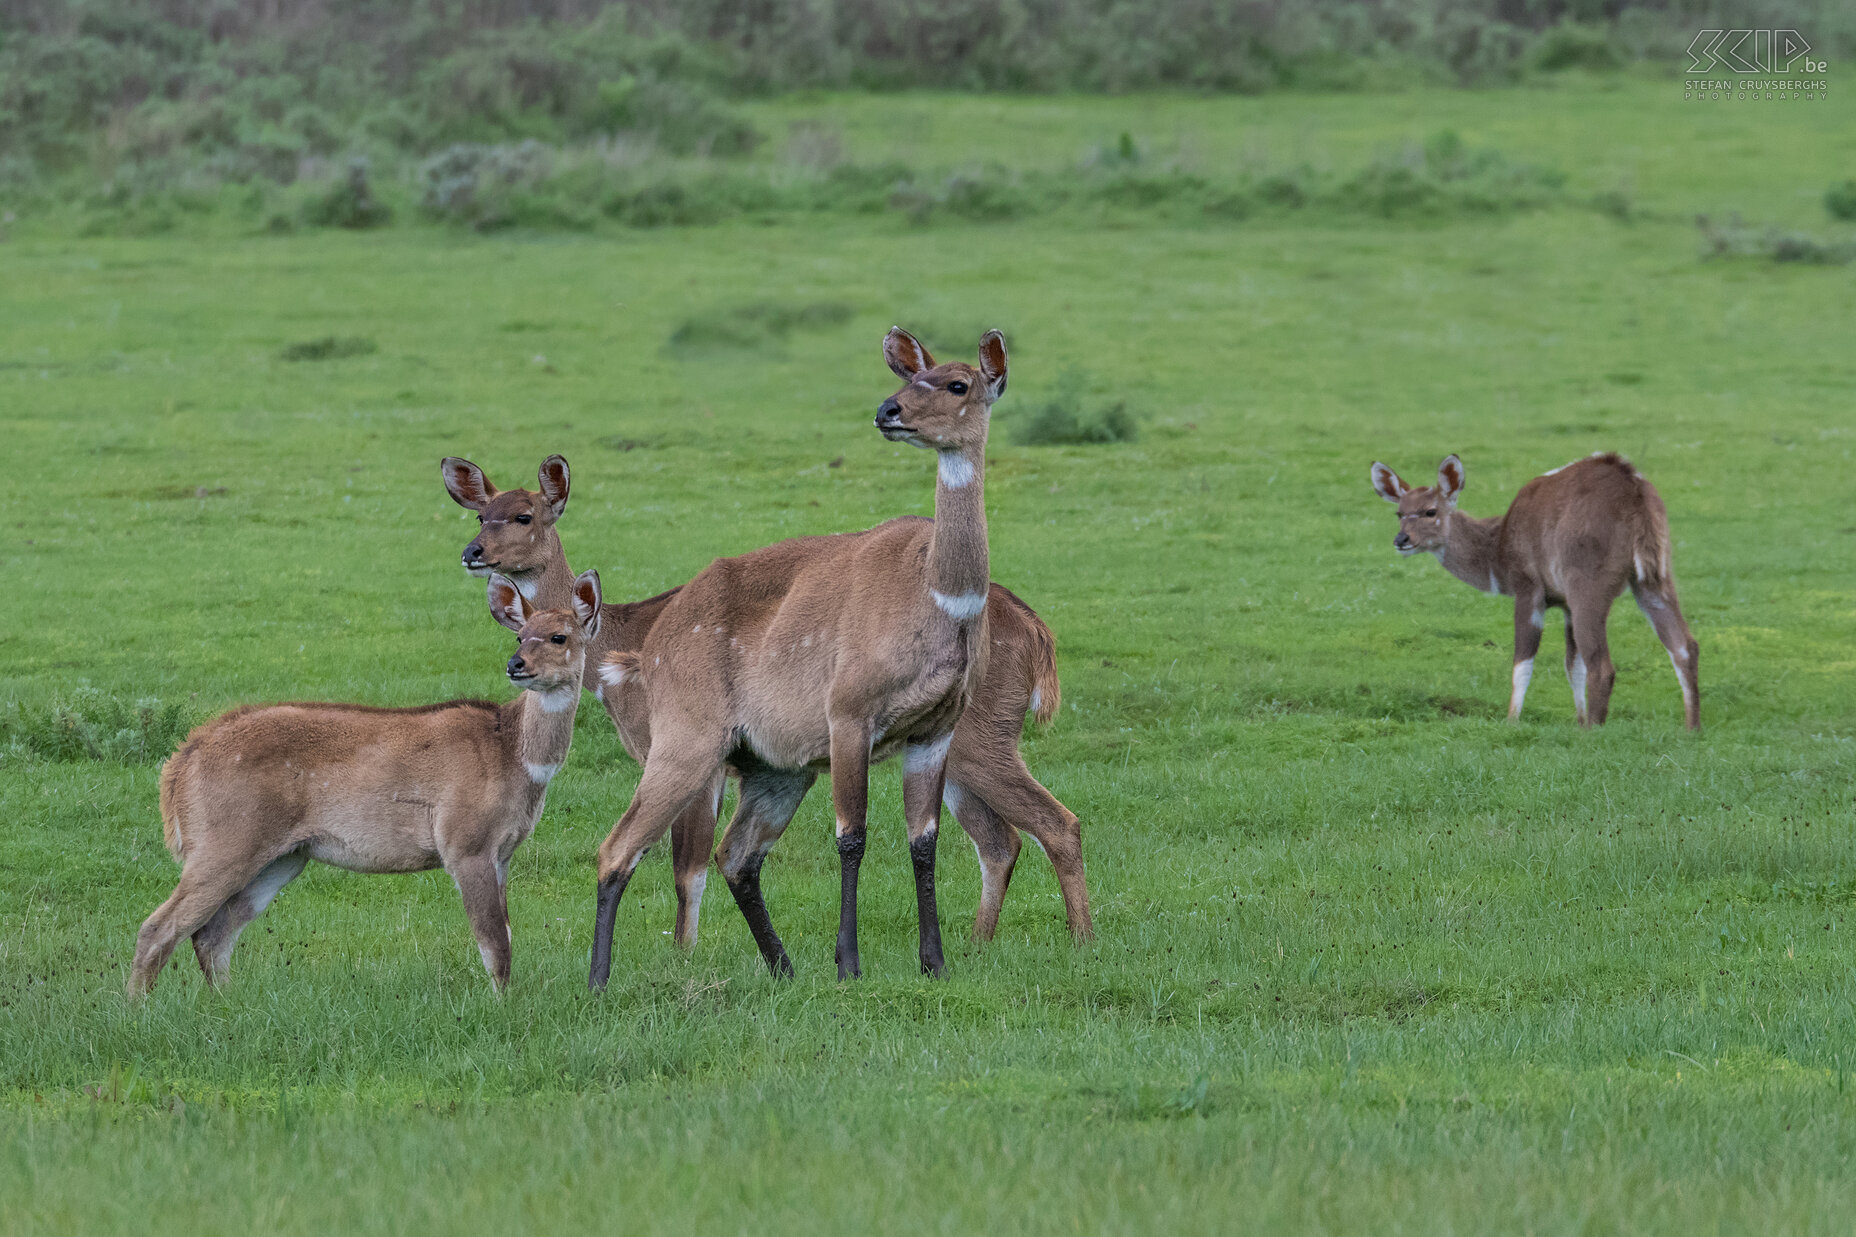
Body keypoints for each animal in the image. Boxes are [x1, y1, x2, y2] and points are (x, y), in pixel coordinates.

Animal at [130, 572, 593, 995]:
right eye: (519, 636)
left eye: (559, 637)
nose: (517, 666)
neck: (514, 754)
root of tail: (180, 765)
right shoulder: (466, 842)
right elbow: (495, 943)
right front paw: (501, 1004)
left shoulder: (504, 852)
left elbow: (507, 936)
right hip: (223, 842)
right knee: (158, 927)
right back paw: (137, 1010)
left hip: (283, 857)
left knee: (213, 932)